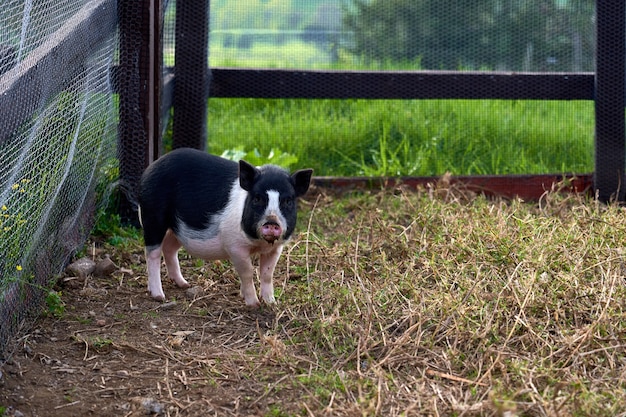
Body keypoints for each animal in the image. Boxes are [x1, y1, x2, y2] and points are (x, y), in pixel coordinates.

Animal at [137, 149, 312, 306]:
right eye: (257, 198)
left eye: (288, 201)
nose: (272, 222)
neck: (258, 243)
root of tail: (149, 170)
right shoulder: (235, 246)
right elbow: (247, 272)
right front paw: (254, 305)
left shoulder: (276, 248)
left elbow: (267, 273)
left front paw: (271, 303)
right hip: (152, 216)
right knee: (152, 253)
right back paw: (159, 296)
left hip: (177, 228)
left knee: (169, 248)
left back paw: (184, 284)